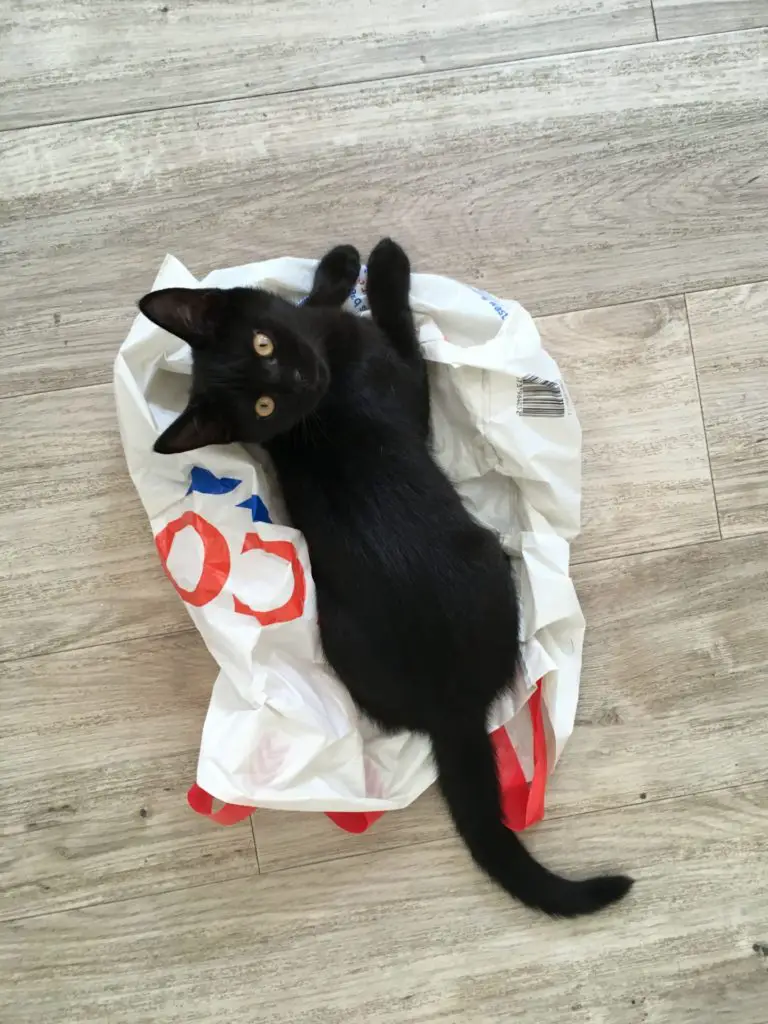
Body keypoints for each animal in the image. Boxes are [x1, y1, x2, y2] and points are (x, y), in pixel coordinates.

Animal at [141, 239, 634, 921]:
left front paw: (337, 269)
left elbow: (311, 302)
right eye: (264, 405)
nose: (300, 379)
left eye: (264, 346)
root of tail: (450, 709)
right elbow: (403, 330)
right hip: (487, 559)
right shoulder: (410, 388)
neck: (326, 377)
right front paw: (384, 265)